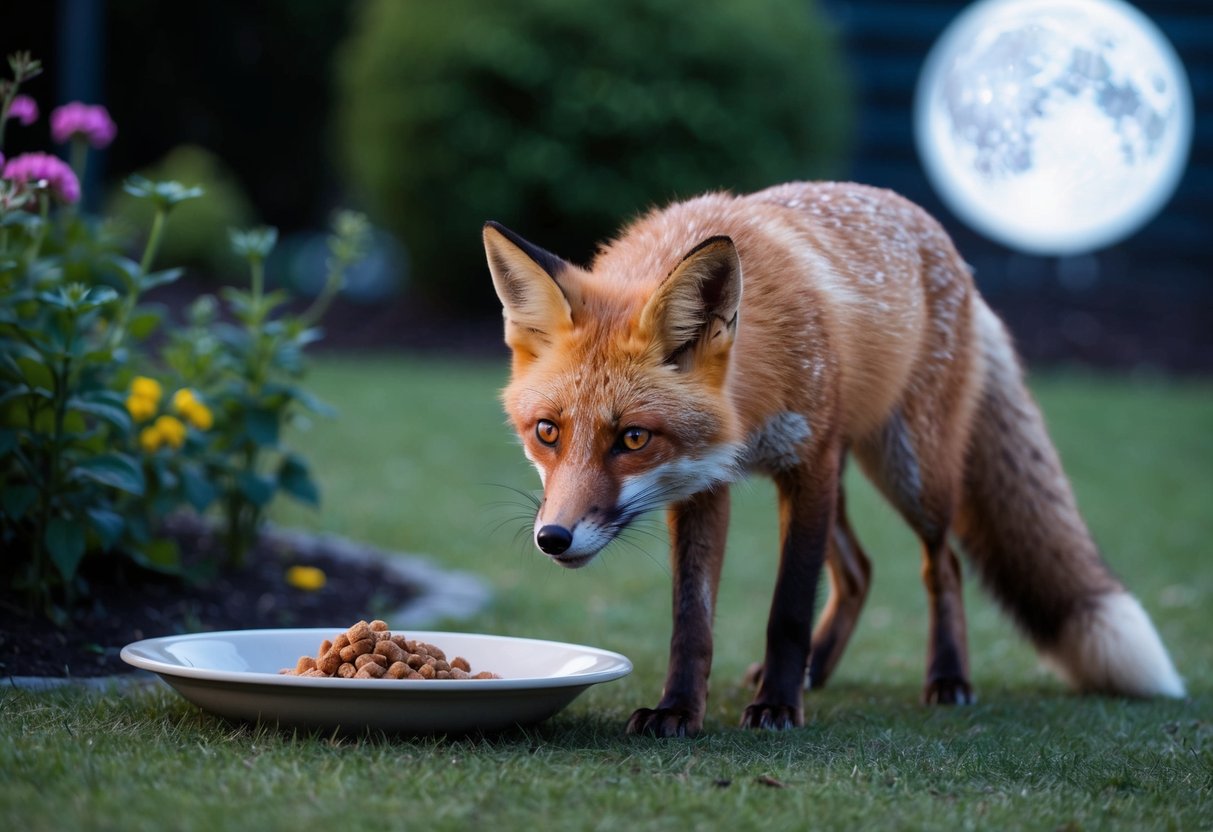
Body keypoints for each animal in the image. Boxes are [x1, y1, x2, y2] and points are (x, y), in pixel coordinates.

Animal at [482, 181, 1185, 737]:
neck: (747, 406)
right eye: (547, 431)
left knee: (944, 565)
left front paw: (776, 707)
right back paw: (819, 669)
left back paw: (946, 677)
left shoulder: (808, 464)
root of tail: (945, 243)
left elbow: (789, 605)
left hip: (911, 472)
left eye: (632, 439)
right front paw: (679, 710)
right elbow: (692, 619)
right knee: (859, 571)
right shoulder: (703, 483)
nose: (553, 537)